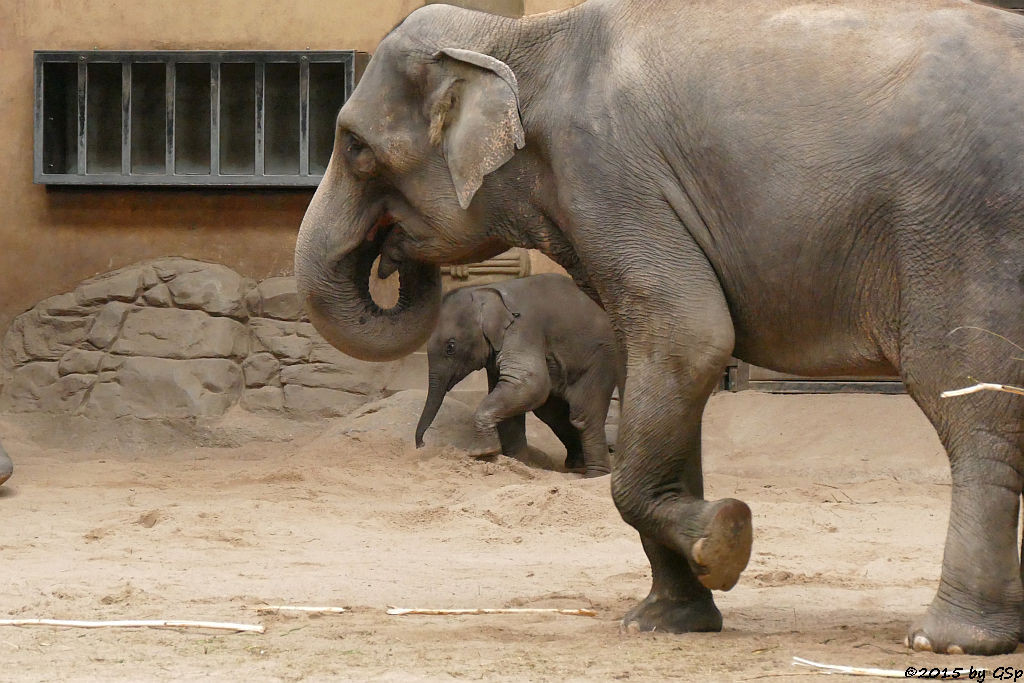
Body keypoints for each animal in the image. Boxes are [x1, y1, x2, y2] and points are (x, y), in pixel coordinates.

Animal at [415, 270, 622, 475]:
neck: (485, 289)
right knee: (553, 414)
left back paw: (595, 474)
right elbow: (510, 397)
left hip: (600, 358)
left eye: (450, 347)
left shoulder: (522, 330)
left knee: (584, 415)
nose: (422, 444)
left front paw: (482, 453)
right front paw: (517, 464)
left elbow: (530, 384)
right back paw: (576, 465)